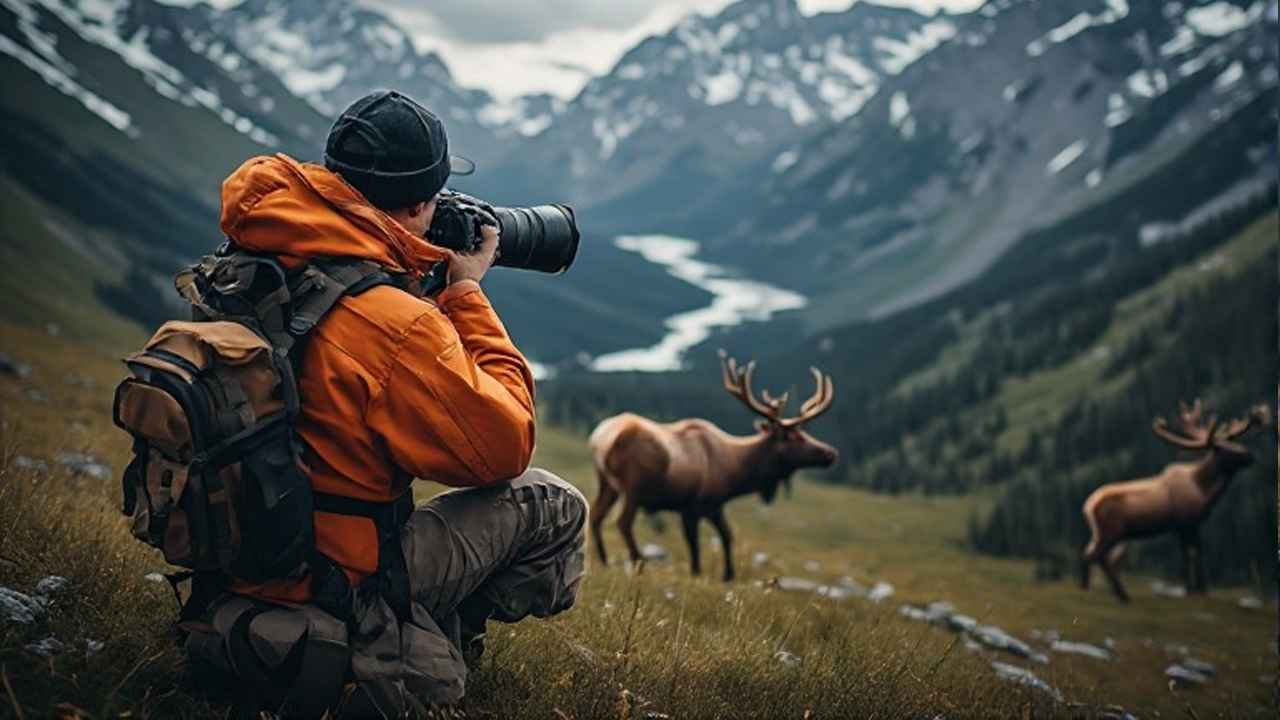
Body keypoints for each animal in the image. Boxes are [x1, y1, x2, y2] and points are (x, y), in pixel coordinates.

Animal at [588, 352, 838, 582]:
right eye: (793, 436)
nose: (830, 453)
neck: (734, 473)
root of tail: (601, 437)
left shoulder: (712, 505)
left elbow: (726, 535)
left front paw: (727, 574)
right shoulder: (696, 505)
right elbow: (698, 542)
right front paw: (700, 573)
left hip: (607, 482)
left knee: (597, 514)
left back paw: (604, 560)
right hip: (634, 487)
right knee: (622, 522)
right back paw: (638, 562)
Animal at [1079, 399, 1271, 602]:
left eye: (1235, 443)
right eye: (1226, 449)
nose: (1249, 455)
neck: (1204, 490)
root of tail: (1089, 506)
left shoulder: (1182, 526)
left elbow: (1189, 552)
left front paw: (1193, 588)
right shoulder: (1187, 522)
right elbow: (1193, 552)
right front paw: (1197, 589)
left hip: (1101, 533)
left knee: (1090, 554)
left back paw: (1096, 589)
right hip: (1111, 531)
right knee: (1098, 557)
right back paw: (1120, 594)